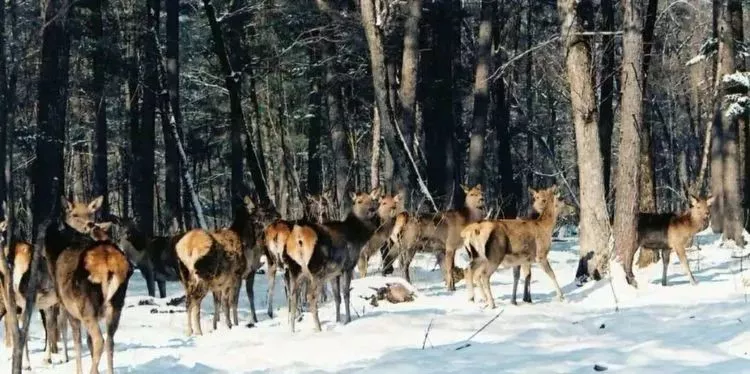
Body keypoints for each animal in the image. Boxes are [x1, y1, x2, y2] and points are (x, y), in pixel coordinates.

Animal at [42, 196, 132, 374]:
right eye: (74, 214)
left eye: (91, 213)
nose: (90, 225)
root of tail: (108, 264)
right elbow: (87, 343)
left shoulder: (70, 308)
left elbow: (78, 342)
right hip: (116, 305)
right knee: (110, 341)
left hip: (86, 307)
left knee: (99, 341)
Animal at [284, 188, 382, 332]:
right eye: (359, 201)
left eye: (372, 199)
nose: (372, 209)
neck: (358, 237)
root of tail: (298, 238)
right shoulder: (348, 266)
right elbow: (346, 293)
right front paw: (347, 320)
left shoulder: (333, 273)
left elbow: (337, 297)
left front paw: (338, 320)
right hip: (316, 271)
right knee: (310, 296)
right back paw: (318, 328)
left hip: (295, 271)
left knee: (293, 297)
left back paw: (292, 331)